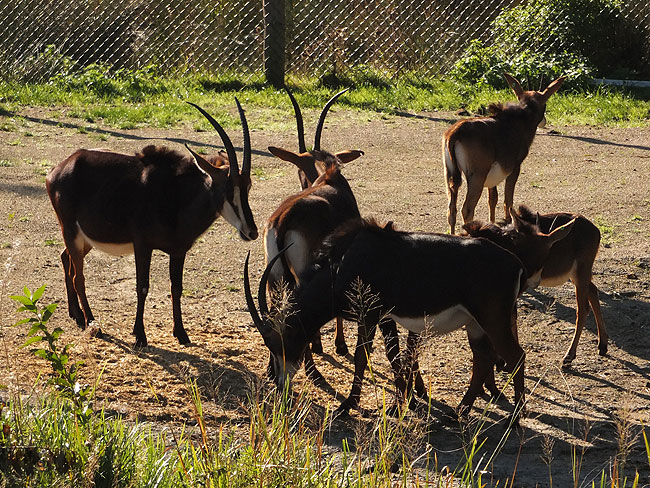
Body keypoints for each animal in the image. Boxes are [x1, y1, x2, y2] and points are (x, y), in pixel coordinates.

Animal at [45, 100, 256, 346]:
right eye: (228, 190)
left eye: (248, 187)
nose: (252, 232)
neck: (176, 197)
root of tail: (57, 170)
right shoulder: (142, 246)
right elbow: (142, 286)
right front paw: (140, 334)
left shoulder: (179, 251)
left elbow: (177, 288)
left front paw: (181, 333)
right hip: (70, 231)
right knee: (78, 276)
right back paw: (92, 322)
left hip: (85, 237)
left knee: (65, 258)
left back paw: (77, 314)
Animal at [264, 88, 364, 378]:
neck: (329, 177)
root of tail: (283, 220)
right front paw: (338, 345)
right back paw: (311, 369)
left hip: (275, 276)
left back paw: (273, 368)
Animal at [442, 74, 564, 234]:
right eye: (545, 104)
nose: (544, 121)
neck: (522, 118)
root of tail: (455, 132)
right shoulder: (515, 168)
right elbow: (508, 200)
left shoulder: (491, 176)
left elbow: (493, 199)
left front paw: (492, 223)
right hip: (477, 176)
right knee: (467, 209)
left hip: (450, 174)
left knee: (451, 210)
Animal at [460, 203, 604, 366]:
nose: (532, 279)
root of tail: (595, 230)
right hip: (576, 275)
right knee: (593, 290)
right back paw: (602, 345)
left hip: (581, 271)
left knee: (583, 309)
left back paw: (569, 355)